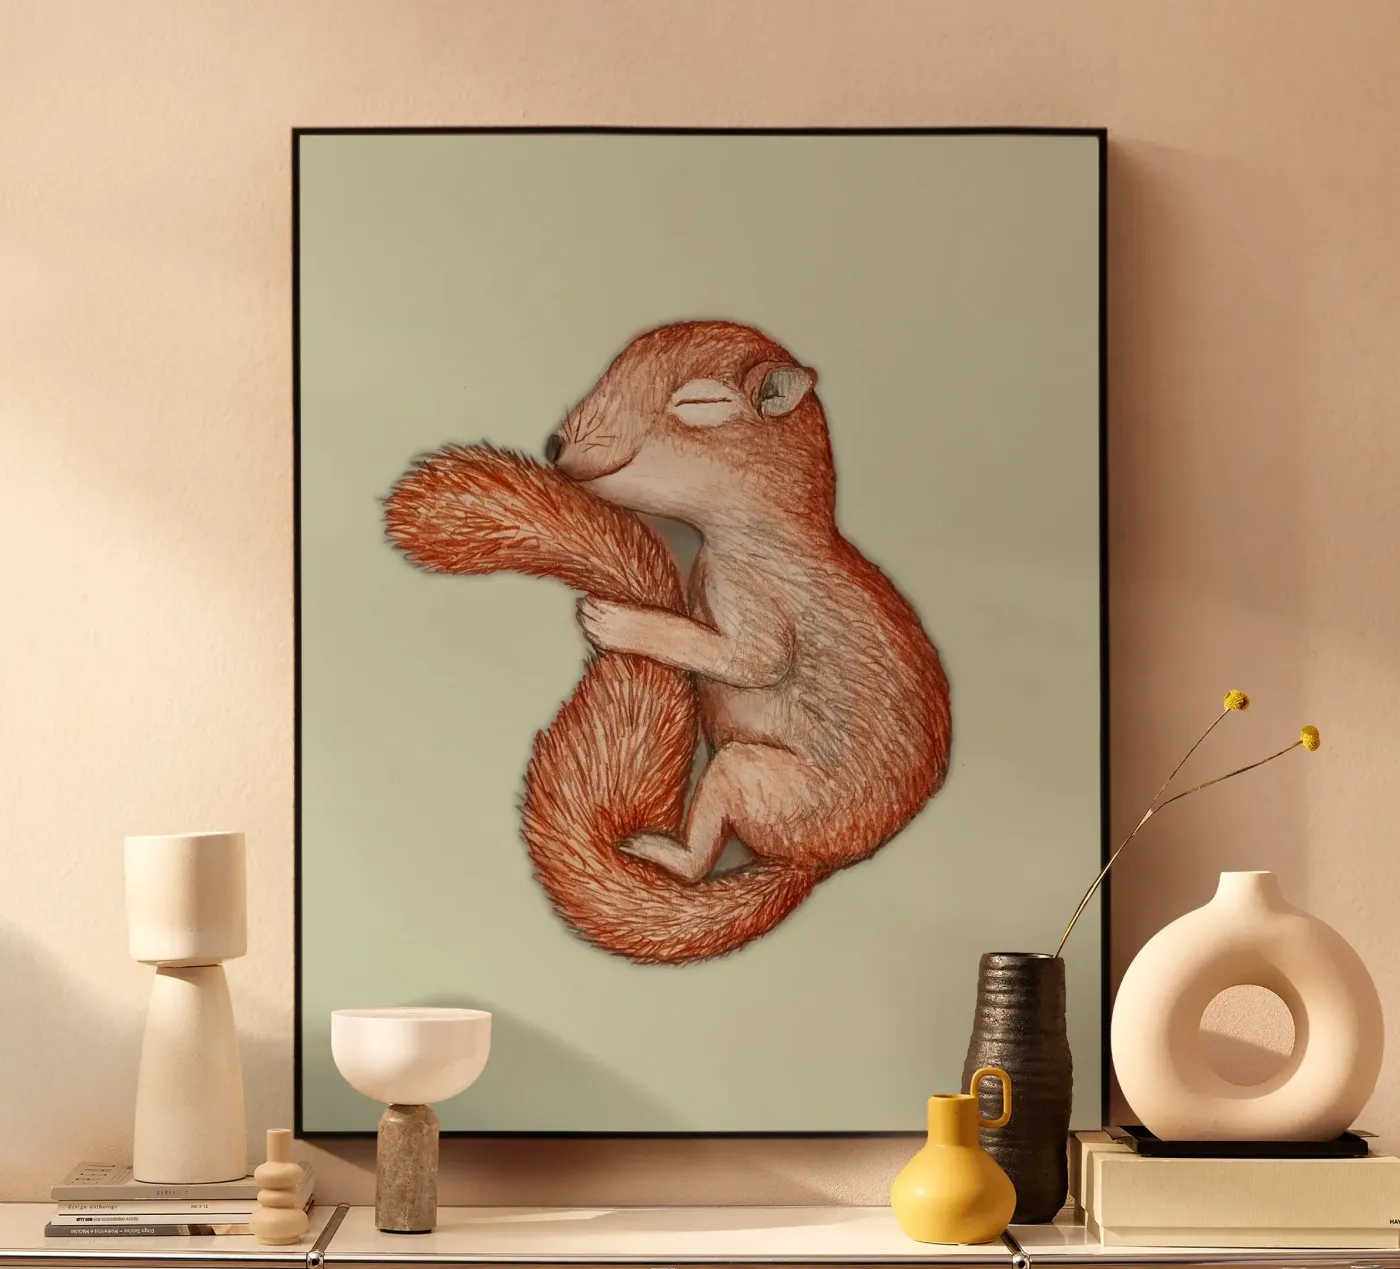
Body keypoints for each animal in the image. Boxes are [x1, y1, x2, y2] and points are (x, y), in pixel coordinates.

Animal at [385, 320, 951, 965]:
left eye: (698, 404)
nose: (553, 447)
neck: (758, 540)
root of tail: (815, 864)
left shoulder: (763, 614)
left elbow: (745, 660)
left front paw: (617, 621)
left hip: (750, 774)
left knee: (697, 862)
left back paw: (663, 852)